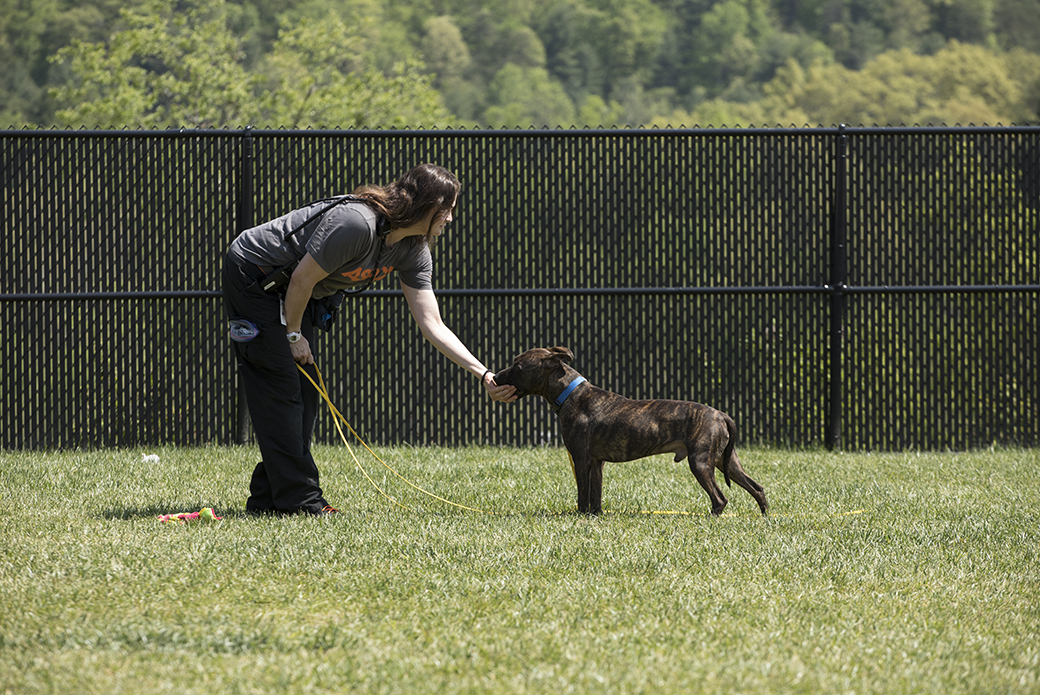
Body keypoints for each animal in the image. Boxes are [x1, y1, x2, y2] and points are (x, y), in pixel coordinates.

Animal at [490, 347, 769, 516]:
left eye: (518, 367)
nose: (494, 377)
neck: (570, 393)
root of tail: (720, 414)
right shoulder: (596, 462)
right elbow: (595, 494)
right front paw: (595, 516)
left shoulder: (581, 459)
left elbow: (583, 493)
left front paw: (580, 516)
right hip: (726, 461)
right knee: (757, 488)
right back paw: (765, 516)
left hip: (701, 462)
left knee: (720, 498)